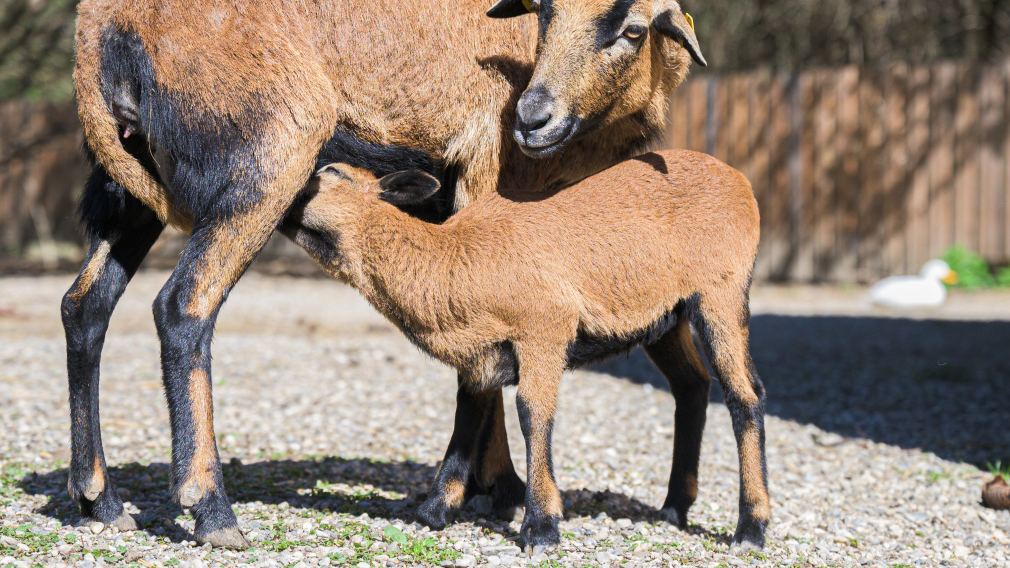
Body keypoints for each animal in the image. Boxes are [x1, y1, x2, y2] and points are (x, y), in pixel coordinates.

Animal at [67, 0, 707, 545]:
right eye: (545, 11)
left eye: (632, 29)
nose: (533, 118)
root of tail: (100, 30)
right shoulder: (485, 171)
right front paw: (486, 493)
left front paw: (496, 488)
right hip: (264, 160)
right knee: (185, 306)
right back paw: (212, 511)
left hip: (131, 182)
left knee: (85, 305)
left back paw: (100, 500)